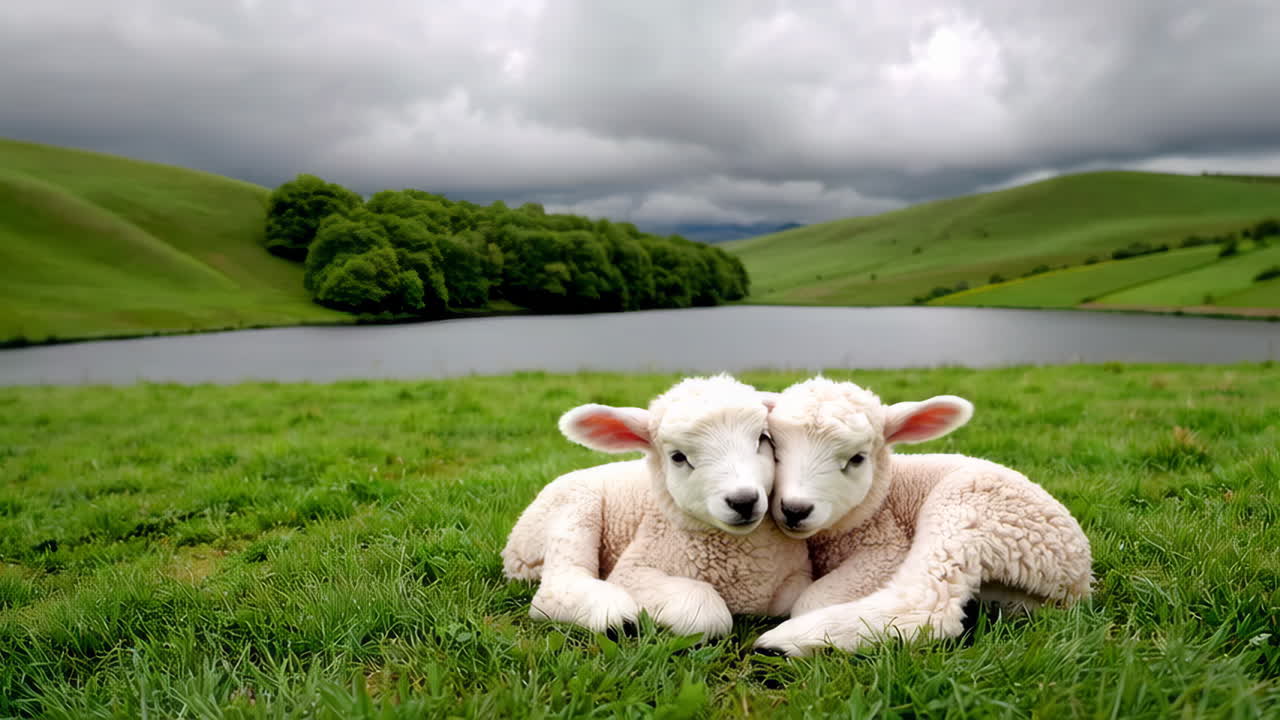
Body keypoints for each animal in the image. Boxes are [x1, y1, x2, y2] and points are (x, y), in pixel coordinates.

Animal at [503, 374, 812, 637]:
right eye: (678, 457)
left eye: (763, 439)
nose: (743, 501)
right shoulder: (634, 570)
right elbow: (703, 612)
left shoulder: (797, 574)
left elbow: (791, 600)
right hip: (573, 513)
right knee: (554, 587)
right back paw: (614, 614)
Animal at [753, 377, 1092, 657]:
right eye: (775, 448)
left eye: (857, 459)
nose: (795, 509)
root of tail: (1079, 575)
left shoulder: (886, 548)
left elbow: (810, 600)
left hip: (967, 510)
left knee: (927, 605)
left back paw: (788, 641)